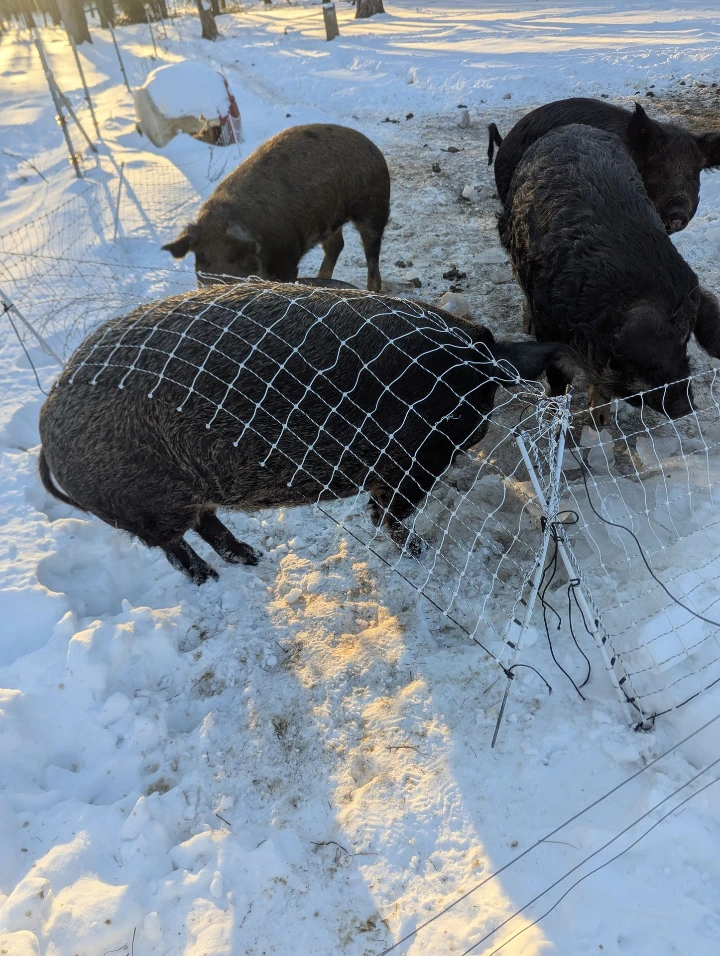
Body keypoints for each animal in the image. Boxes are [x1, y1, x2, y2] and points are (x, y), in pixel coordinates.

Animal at [38, 283, 558, 584]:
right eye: (463, 412)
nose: (474, 437)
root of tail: (46, 425)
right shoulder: (407, 460)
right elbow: (386, 510)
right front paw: (417, 553)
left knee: (206, 524)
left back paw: (250, 557)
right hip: (147, 505)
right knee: (174, 544)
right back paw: (209, 578)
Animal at [162, 125, 391, 291]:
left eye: (238, 258)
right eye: (202, 258)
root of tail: (373, 148)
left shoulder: (287, 258)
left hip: (374, 206)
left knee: (371, 251)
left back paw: (372, 289)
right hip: (330, 220)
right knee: (336, 245)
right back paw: (321, 278)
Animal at [498, 124, 720, 419]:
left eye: (686, 339)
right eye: (646, 362)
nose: (686, 407)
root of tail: (572, 127)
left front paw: (600, 420)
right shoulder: (552, 334)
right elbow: (559, 384)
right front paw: (556, 418)